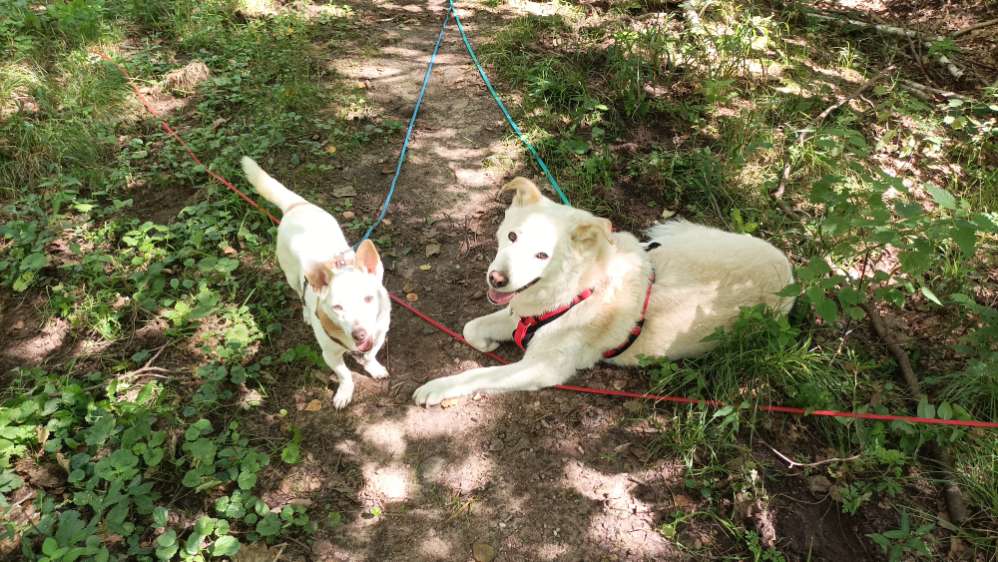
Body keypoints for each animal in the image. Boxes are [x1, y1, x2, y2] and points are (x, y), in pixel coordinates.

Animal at [242, 157, 390, 408]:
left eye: (369, 299)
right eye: (337, 307)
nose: (359, 334)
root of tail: (296, 205)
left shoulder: (379, 334)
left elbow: (370, 355)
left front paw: (374, 368)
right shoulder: (329, 355)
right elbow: (345, 374)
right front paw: (344, 392)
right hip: (291, 275)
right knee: (299, 295)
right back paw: (306, 315)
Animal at [412, 177, 794, 406]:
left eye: (542, 255)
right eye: (512, 236)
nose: (497, 279)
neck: (579, 286)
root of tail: (790, 272)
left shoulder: (542, 367)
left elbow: (479, 374)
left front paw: (437, 388)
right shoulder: (523, 314)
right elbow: (471, 327)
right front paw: (486, 342)